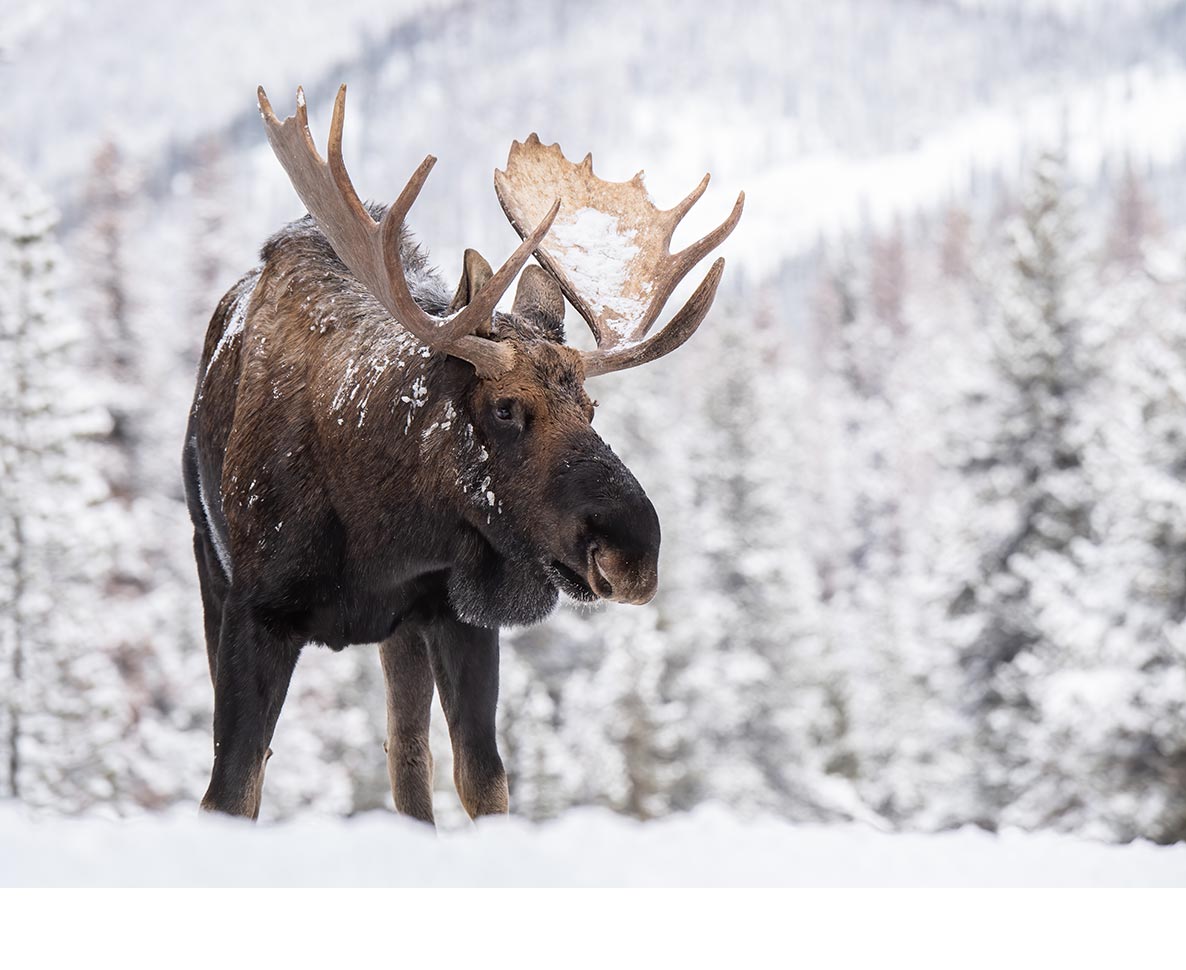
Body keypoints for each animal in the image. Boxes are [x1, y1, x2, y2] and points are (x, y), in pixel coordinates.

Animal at [181, 87, 740, 820]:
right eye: (504, 408)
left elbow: (484, 779)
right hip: (208, 563)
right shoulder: (254, 610)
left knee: (408, 762)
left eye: (592, 408)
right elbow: (231, 790)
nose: (634, 553)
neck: (378, 532)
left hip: (401, 635)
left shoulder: (457, 615)